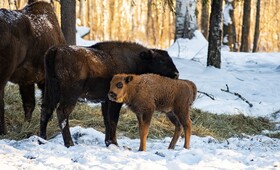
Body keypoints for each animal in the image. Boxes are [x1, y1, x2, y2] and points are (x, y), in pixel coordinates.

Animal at [39, 41, 179, 147]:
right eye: (160, 60)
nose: (176, 74)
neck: (136, 60)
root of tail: (55, 50)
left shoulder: (105, 101)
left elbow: (107, 120)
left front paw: (108, 142)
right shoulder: (115, 102)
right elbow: (113, 120)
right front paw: (114, 143)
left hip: (50, 90)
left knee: (46, 110)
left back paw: (42, 140)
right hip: (70, 95)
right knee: (62, 112)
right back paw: (69, 143)